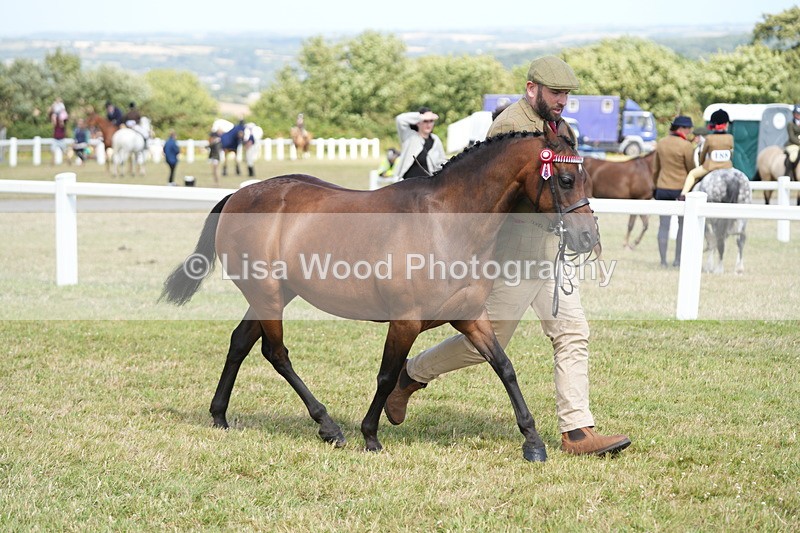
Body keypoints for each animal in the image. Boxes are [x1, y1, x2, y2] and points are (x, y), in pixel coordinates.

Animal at [160, 129, 597, 463]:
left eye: (588, 178)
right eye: (565, 180)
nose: (588, 237)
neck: (446, 223)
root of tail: (239, 195)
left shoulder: (471, 317)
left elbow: (504, 367)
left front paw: (533, 442)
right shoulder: (405, 321)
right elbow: (387, 375)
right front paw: (370, 435)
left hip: (273, 295)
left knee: (240, 343)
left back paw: (220, 416)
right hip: (267, 295)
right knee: (276, 353)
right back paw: (328, 426)